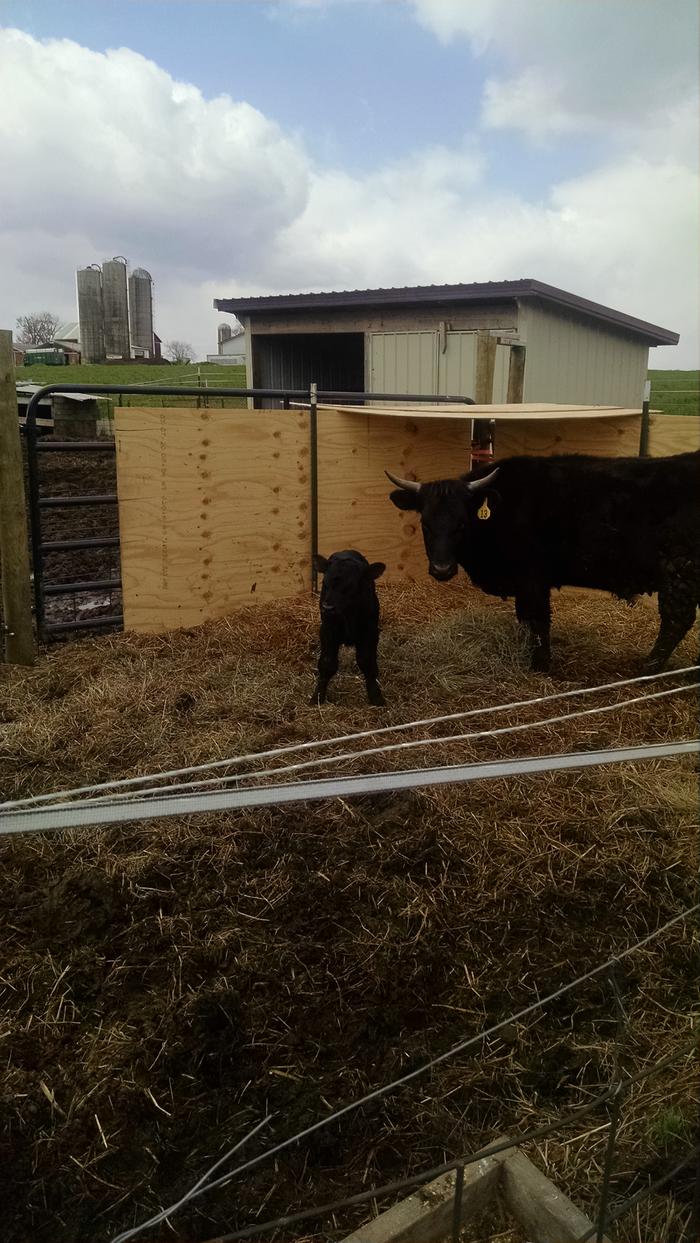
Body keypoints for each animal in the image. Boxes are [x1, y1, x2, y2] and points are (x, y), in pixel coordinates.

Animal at [312, 549, 387, 706]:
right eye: (324, 583)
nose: (327, 608)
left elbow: (367, 661)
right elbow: (327, 663)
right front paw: (317, 696)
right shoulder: (327, 630)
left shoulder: (370, 631)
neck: (347, 615)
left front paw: (375, 696)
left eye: (351, 586)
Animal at [387, 452, 700, 671]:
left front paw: (540, 664)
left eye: (461, 523)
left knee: (676, 621)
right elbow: (525, 619)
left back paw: (648, 669)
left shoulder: (533, 578)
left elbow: (538, 620)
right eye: (425, 524)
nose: (442, 569)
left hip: (680, 573)